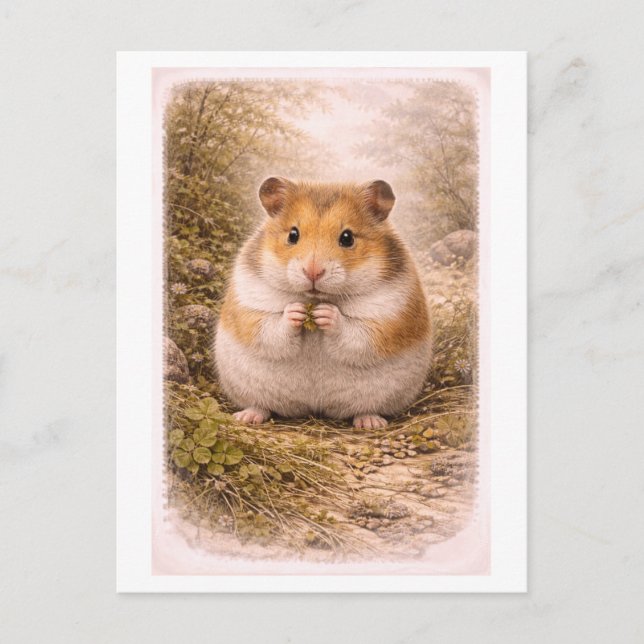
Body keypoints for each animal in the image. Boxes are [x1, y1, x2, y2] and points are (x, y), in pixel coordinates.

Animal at [214, 177, 432, 429]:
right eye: (293, 235)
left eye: (347, 238)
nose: (313, 272)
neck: (316, 298)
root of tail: (314, 407)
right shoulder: (249, 306)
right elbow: (270, 327)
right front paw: (296, 312)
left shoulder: (390, 315)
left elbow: (358, 333)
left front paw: (327, 314)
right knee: (260, 404)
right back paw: (246, 417)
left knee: (366, 409)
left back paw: (370, 422)